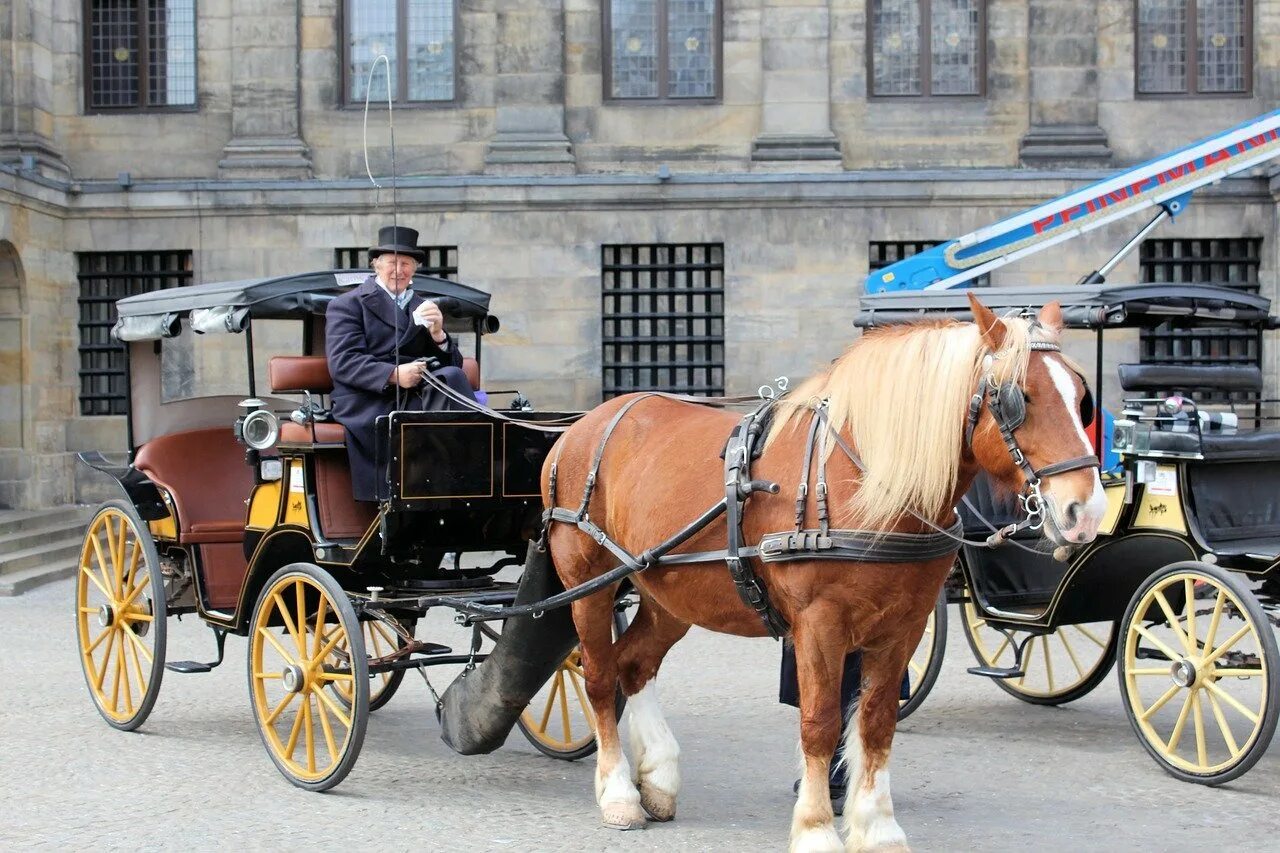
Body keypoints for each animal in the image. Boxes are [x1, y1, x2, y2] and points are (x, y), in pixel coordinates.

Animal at [545, 294, 1105, 850]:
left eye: (1081, 398)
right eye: (1017, 398)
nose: (1087, 511)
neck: (865, 482)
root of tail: (582, 426)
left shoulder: (903, 627)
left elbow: (875, 724)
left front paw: (877, 827)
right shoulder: (818, 625)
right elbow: (820, 722)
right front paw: (816, 828)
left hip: (669, 593)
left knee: (635, 664)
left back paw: (658, 779)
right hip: (588, 585)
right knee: (599, 676)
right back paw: (618, 793)